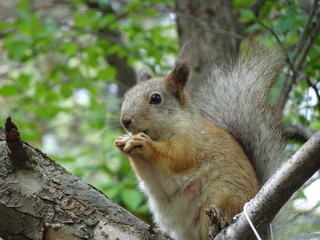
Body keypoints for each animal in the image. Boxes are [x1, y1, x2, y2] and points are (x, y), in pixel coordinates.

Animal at [115, 47, 284, 240]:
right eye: (127, 95)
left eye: (156, 98)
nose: (125, 121)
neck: (162, 133)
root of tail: (262, 231)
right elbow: (149, 176)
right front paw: (124, 143)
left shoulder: (190, 141)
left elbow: (175, 157)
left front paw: (144, 144)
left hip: (220, 200)